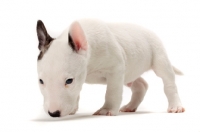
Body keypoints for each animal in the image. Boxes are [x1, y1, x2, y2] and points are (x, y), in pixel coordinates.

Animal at [35, 18, 184, 117]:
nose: (53, 113)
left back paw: (175, 106)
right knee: (140, 84)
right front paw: (73, 108)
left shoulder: (116, 69)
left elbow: (112, 91)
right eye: (41, 81)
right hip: (130, 71)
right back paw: (130, 106)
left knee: (168, 82)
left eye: (69, 81)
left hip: (159, 56)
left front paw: (107, 109)